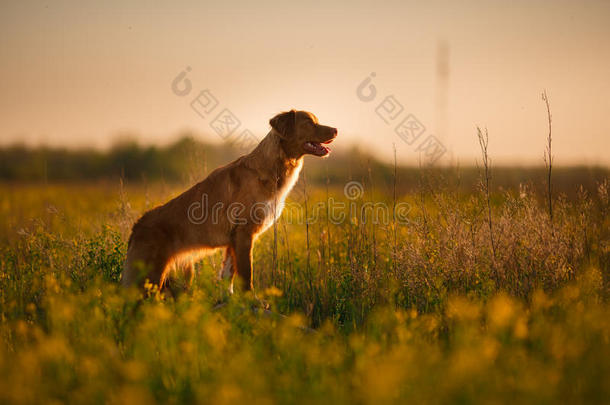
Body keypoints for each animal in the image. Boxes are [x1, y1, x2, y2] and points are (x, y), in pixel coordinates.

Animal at [120, 110, 334, 292]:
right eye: (309, 122)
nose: (336, 130)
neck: (272, 168)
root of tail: (137, 226)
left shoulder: (233, 239)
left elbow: (227, 276)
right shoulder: (244, 233)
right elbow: (246, 275)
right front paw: (250, 301)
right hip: (149, 275)